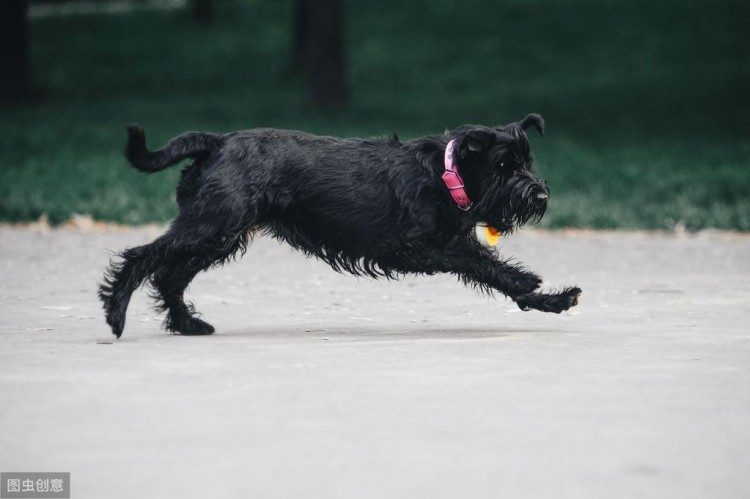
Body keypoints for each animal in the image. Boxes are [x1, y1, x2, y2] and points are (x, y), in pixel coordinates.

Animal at [98, 115, 580, 338]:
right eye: (504, 166)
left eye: (527, 163)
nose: (540, 196)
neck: (446, 174)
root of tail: (216, 142)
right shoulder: (420, 247)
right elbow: (485, 264)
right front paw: (527, 280)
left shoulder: (440, 244)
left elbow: (491, 270)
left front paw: (553, 301)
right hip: (211, 225)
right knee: (143, 257)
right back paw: (116, 313)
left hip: (218, 235)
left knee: (170, 274)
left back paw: (187, 324)